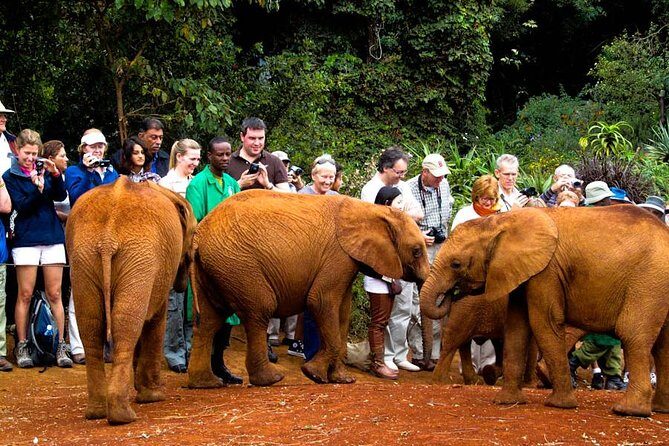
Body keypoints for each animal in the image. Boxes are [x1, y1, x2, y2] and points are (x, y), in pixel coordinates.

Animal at [66, 177, 196, 424]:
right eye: (194, 233)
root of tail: (107, 239)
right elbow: (156, 319)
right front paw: (153, 396)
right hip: (139, 257)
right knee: (126, 326)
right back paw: (123, 415)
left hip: (83, 258)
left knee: (92, 326)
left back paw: (98, 412)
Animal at [187, 190, 430, 388]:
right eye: (417, 251)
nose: (424, 365)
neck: (372, 210)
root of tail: (199, 233)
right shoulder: (338, 255)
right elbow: (321, 301)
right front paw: (313, 374)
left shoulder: (347, 261)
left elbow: (342, 312)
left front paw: (342, 379)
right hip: (239, 265)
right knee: (260, 311)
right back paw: (270, 379)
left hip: (216, 267)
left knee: (208, 321)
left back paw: (206, 383)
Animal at [420, 205, 669, 417]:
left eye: (456, 264)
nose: (451, 294)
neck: (501, 221)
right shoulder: (524, 271)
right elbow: (517, 328)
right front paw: (507, 401)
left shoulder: (546, 272)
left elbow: (543, 323)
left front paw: (559, 404)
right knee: (660, 345)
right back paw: (657, 409)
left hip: (648, 281)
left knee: (634, 335)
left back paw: (629, 411)